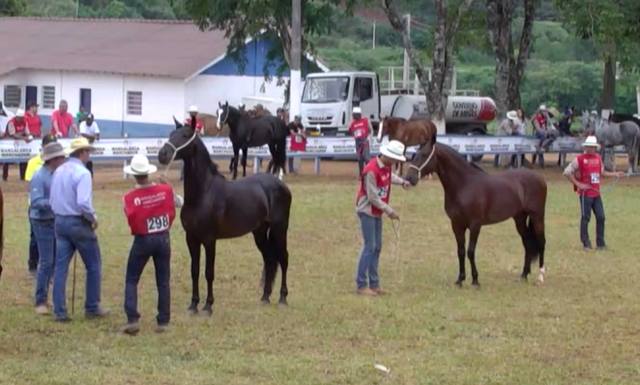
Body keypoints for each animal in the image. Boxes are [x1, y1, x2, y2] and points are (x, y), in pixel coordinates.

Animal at [158, 121, 292, 312]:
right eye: (171, 134)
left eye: (184, 135)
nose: (162, 154)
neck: (203, 194)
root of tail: (281, 184)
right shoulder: (191, 238)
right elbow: (194, 271)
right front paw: (193, 305)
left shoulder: (209, 239)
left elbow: (209, 272)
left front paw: (208, 306)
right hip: (259, 232)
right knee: (270, 259)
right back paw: (265, 297)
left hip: (280, 229)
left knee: (284, 258)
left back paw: (282, 298)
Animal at [408, 134, 548, 284]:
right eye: (415, 154)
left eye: (424, 154)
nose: (409, 178)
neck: (464, 185)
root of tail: (540, 178)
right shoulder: (456, 225)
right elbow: (461, 251)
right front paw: (460, 279)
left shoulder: (475, 225)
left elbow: (470, 251)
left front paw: (475, 280)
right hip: (519, 218)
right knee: (527, 243)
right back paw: (524, 275)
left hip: (537, 216)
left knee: (541, 242)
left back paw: (540, 276)